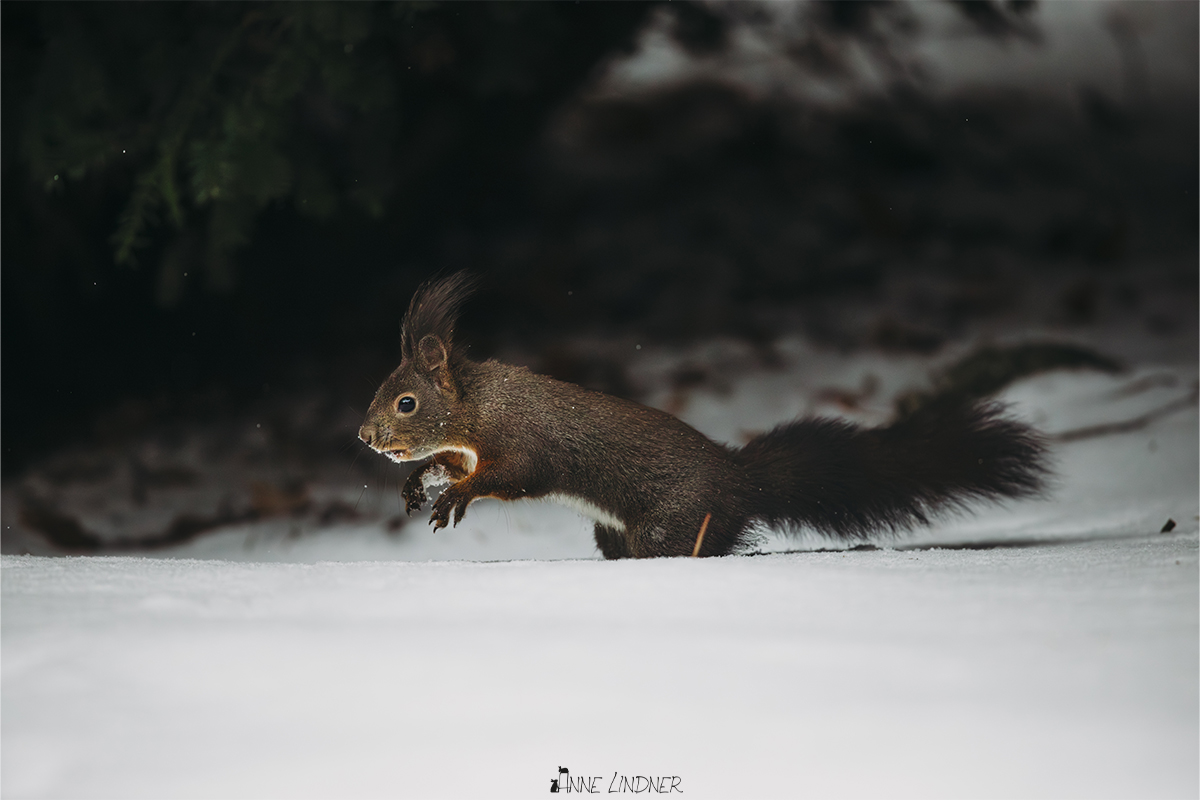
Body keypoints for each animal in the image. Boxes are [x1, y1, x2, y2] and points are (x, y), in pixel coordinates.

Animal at [358, 273, 1049, 559]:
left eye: (406, 402)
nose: (366, 435)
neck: (478, 406)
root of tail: (743, 483)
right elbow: (454, 463)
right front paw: (421, 481)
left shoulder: (524, 441)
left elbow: (515, 475)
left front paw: (455, 496)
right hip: (616, 532)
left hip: (673, 523)